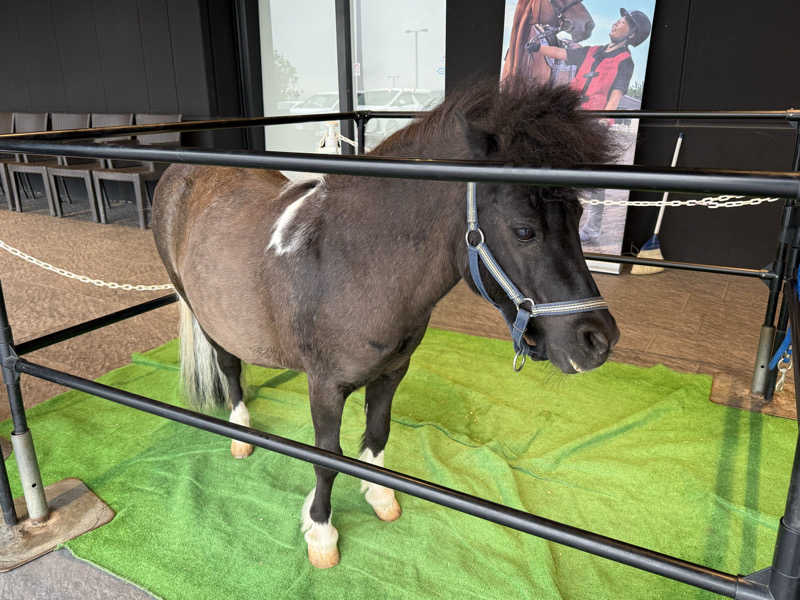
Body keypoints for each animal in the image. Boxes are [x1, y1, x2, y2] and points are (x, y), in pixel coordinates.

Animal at [151, 80, 619, 569]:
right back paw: (240, 432)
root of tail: (179, 172)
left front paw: (379, 497)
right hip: (202, 311)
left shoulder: (392, 372)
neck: (352, 261)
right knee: (229, 365)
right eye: (524, 230)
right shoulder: (325, 386)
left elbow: (377, 435)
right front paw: (321, 532)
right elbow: (327, 458)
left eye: (578, 216)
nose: (598, 341)